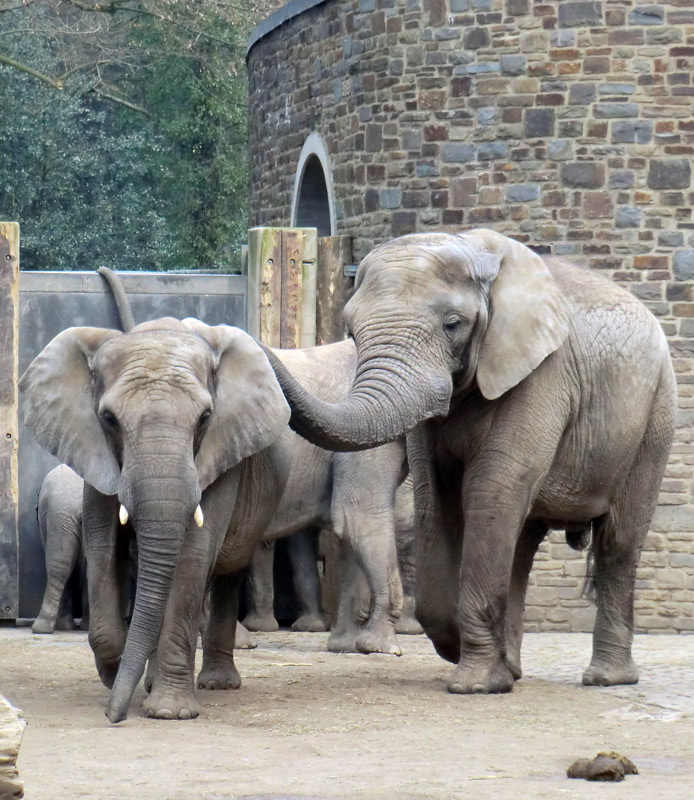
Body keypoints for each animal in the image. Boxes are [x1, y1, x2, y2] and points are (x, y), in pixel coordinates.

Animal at [19, 318, 290, 724]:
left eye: (205, 418)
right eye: (108, 419)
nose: (113, 718)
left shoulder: (219, 453)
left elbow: (193, 556)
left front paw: (168, 712)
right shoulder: (96, 453)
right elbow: (102, 548)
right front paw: (114, 676)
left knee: (226, 573)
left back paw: (214, 684)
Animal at [266, 227, 680, 692]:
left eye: (453, 324)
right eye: (352, 331)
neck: (475, 251)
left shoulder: (543, 375)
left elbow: (491, 491)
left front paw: (475, 684)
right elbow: (436, 497)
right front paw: (464, 654)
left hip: (655, 416)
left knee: (618, 542)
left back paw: (606, 679)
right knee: (522, 544)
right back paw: (513, 669)